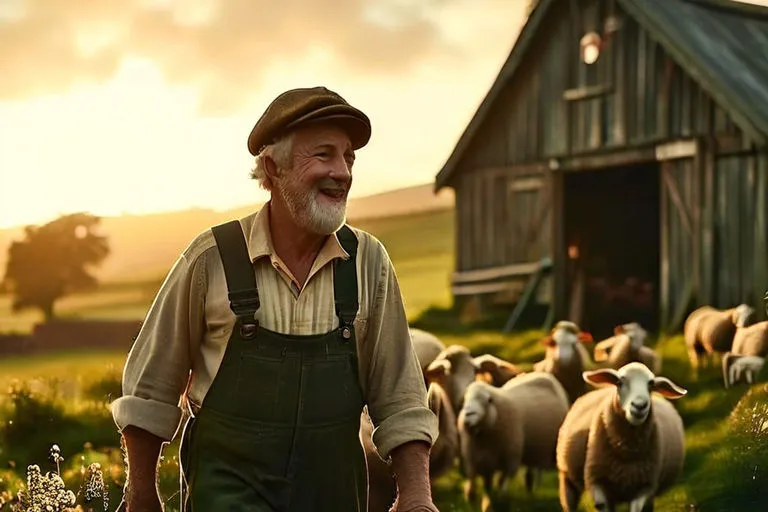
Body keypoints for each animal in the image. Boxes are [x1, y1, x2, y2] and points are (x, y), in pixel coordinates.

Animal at [456, 372, 568, 512]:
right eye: (465, 400)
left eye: (486, 400)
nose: (468, 415)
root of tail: (544, 375)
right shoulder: (478, 459)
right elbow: (483, 485)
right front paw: (480, 501)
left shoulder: (510, 457)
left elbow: (503, 481)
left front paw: (500, 500)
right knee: (531, 468)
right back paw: (529, 486)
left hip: (547, 447)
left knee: (539, 469)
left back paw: (535, 487)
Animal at [556, 362, 688, 512]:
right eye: (619, 383)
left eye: (651, 384)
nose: (639, 406)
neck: (626, 454)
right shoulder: (596, 480)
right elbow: (601, 504)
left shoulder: (646, 486)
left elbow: (637, 508)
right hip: (567, 478)